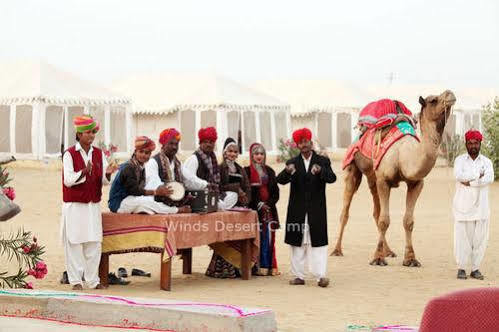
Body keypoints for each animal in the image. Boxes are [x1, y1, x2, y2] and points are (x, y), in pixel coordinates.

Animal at [332, 90, 458, 268]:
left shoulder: (416, 183)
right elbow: (384, 220)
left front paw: (411, 259)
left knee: (376, 210)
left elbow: (408, 221)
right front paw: (377, 259)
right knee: (346, 211)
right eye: (433, 100)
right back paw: (337, 250)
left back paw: (389, 251)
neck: (404, 155)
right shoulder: (384, 181)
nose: (450, 94)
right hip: (353, 167)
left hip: (373, 177)